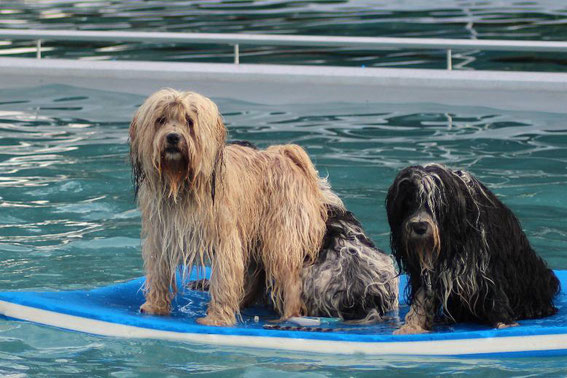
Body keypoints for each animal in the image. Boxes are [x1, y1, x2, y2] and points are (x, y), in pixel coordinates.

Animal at [129, 88, 330, 324]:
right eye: (160, 120)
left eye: (189, 121)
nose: (173, 137)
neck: (184, 184)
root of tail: (286, 156)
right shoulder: (161, 235)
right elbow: (158, 270)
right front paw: (155, 307)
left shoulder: (225, 237)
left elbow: (224, 276)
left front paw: (216, 318)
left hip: (282, 235)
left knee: (289, 278)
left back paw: (289, 316)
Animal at [386, 162, 560, 334]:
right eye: (408, 203)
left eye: (436, 205)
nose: (419, 226)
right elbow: (423, 296)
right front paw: (411, 327)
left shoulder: (486, 263)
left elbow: (495, 293)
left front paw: (505, 324)